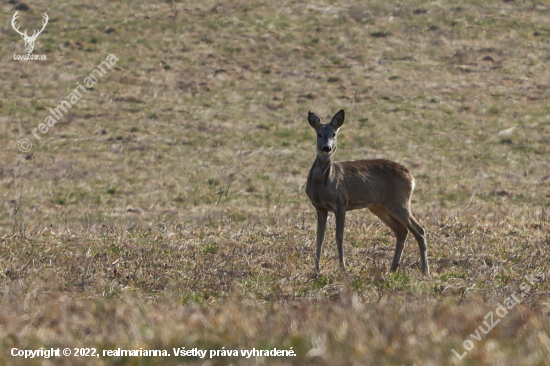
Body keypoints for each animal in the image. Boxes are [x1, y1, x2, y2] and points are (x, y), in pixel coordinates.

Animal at [306, 108, 432, 274]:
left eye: (334, 134)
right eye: (319, 134)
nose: (327, 148)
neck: (323, 185)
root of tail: (411, 177)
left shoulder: (341, 202)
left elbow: (339, 236)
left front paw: (343, 268)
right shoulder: (319, 207)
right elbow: (319, 237)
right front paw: (316, 268)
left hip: (399, 202)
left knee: (419, 230)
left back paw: (425, 271)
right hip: (379, 207)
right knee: (401, 231)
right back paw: (393, 269)